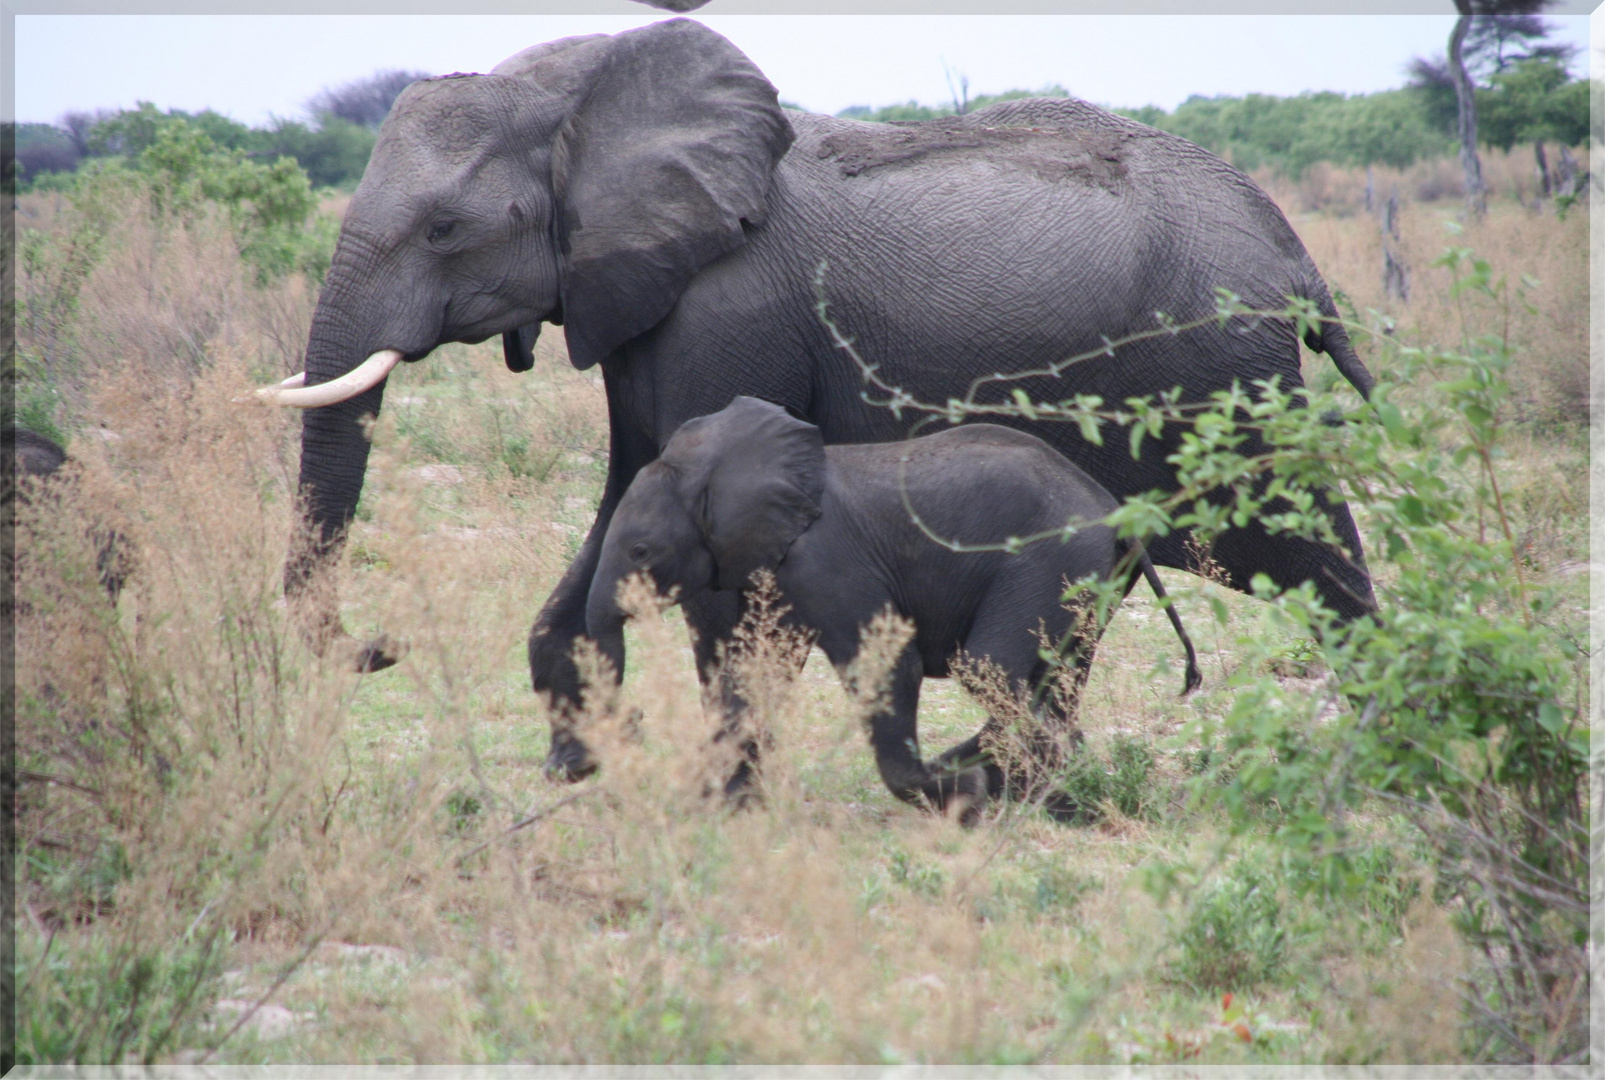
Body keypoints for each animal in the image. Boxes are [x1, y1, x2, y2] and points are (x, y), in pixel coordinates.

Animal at [253, 18, 1380, 776]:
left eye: (444, 230)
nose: (381, 646)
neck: (586, 89)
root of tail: (1295, 254)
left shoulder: (727, 314)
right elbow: (627, 497)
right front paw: (577, 768)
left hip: (1226, 380)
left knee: (1308, 547)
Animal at [584, 399, 1200, 821]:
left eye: (641, 553)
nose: (633, 723)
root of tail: (1117, 514)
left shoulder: (826, 560)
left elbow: (887, 666)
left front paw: (961, 797)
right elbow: (756, 671)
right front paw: (725, 805)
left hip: (1047, 559)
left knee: (989, 667)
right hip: (1089, 577)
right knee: (1058, 678)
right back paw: (1051, 795)